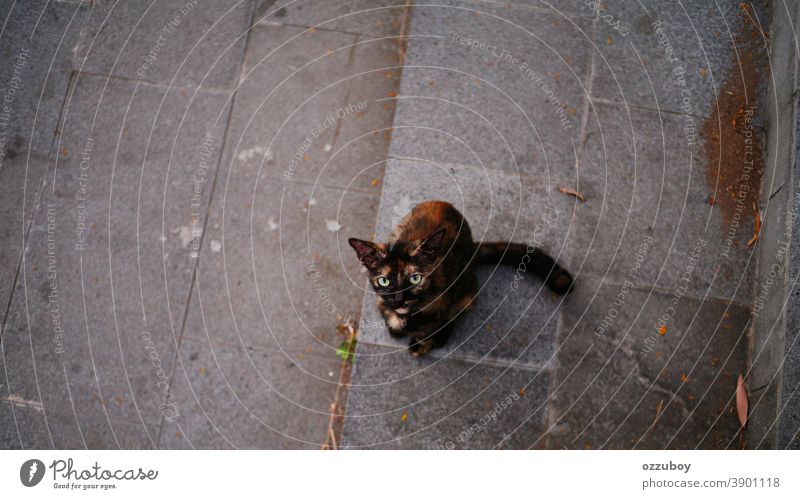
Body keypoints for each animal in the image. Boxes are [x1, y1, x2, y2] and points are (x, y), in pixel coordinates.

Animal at [350, 201, 576, 358]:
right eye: (384, 281)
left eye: (415, 279)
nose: (399, 299)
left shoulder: (445, 302)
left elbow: (435, 325)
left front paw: (424, 343)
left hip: (467, 288)